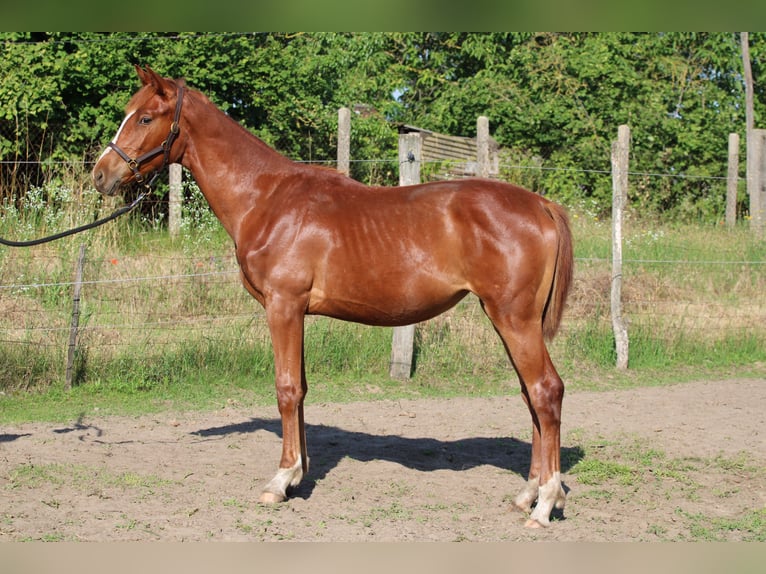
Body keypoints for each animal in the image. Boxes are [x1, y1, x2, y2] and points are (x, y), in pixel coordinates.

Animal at [92, 66, 574, 528]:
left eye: (145, 118)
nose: (101, 174)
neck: (266, 198)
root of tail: (540, 204)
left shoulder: (283, 306)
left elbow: (286, 387)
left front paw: (279, 481)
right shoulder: (297, 312)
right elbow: (301, 388)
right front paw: (298, 475)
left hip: (514, 319)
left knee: (546, 391)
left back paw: (545, 504)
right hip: (510, 320)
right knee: (530, 396)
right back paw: (527, 494)